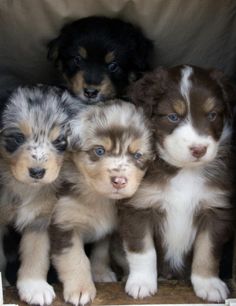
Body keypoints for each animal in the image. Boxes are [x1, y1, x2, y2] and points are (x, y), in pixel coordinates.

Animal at [0, 85, 83, 304]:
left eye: (60, 141)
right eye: (17, 138)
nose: (37, 172)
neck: (24, 187)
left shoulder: (41, 219)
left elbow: (36, 254)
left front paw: (34, 287)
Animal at [50, 101, 154, 306]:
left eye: (138, 155)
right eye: (99, 151)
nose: (119, 181)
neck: (98, 197)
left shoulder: (110, 229)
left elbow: (101, 251)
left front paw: (100, 273)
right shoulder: (64, 222)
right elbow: (75, 258)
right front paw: (80, 289)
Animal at [118, 65, 236, 302]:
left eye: (212, 115)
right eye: (173, 117)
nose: (199, 149)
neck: (184, 171)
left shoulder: (215, 209)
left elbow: (207, 250)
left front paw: (209, 285)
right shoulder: (138, 207)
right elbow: (143, 251)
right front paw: (141, 283)